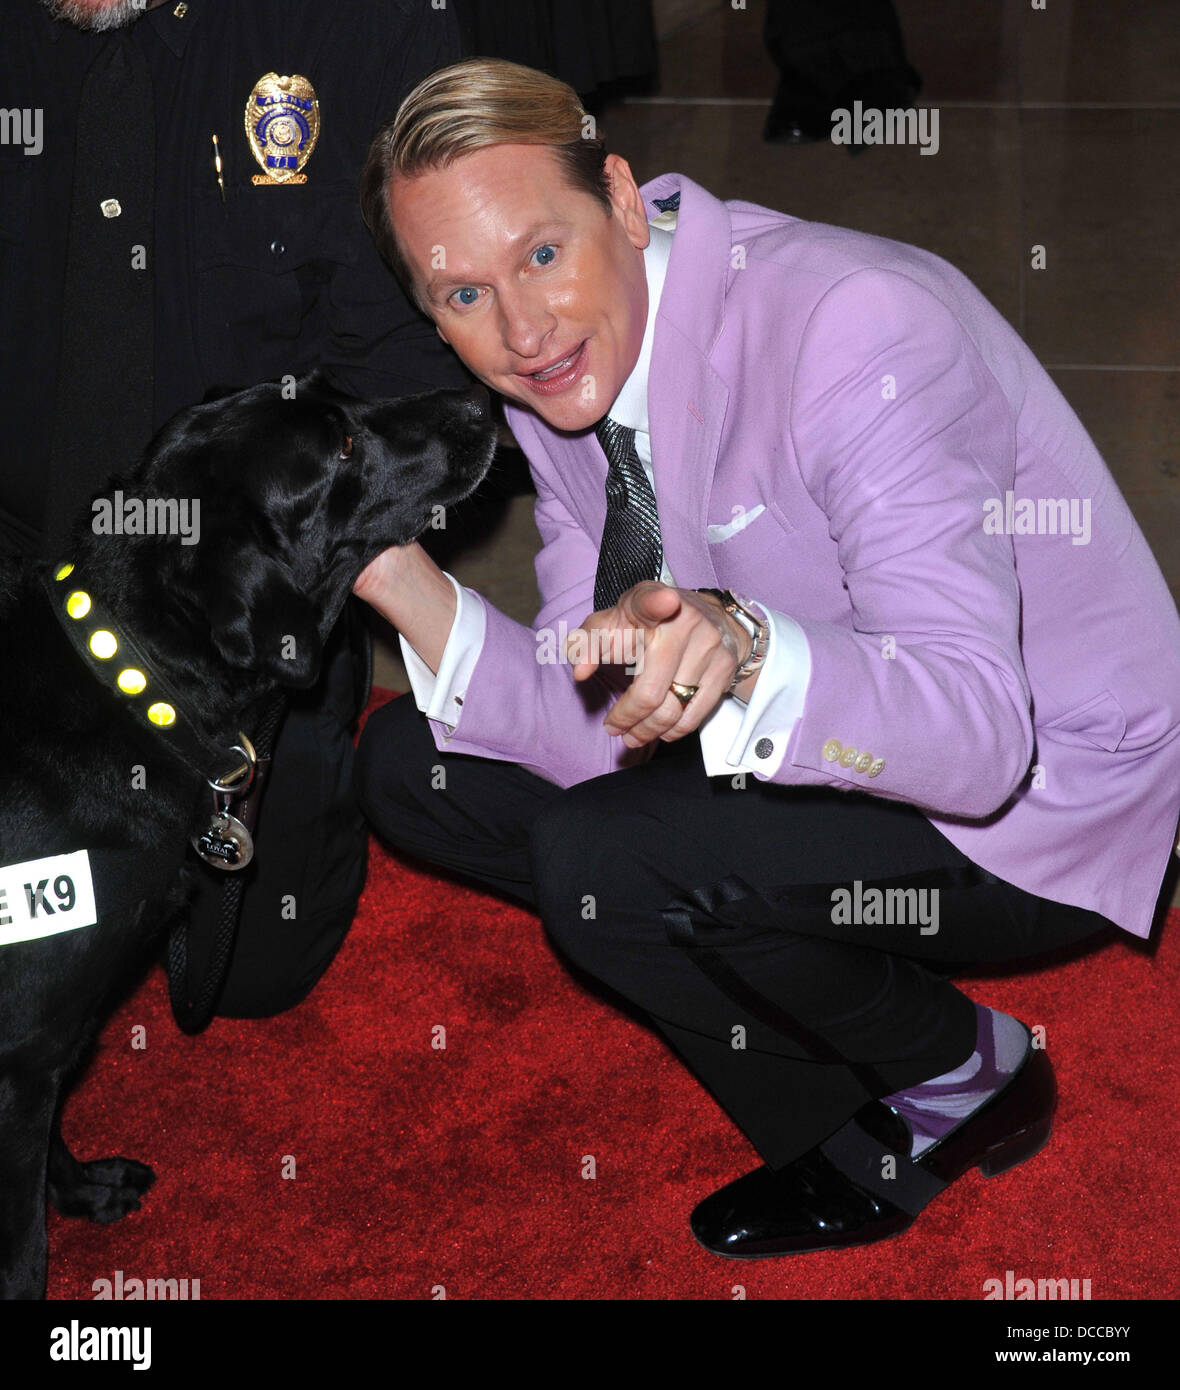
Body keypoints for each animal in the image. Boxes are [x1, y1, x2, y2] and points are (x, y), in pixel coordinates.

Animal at [0, 372, 494, 1301]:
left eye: (341, 391)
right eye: (339, 445)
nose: (483, 404)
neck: (132, 679)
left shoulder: (44, 1047)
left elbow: (52, 1151)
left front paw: (83, 1192)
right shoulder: (18, 1059)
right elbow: (21, 1252)